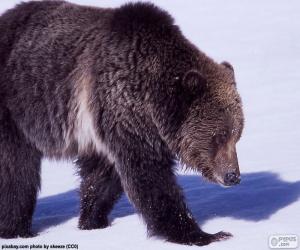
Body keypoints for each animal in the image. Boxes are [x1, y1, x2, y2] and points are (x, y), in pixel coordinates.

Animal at [0, 0, 244, 246]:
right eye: (219, 136)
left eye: (237, 135)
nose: (233, 176)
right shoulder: (123, 108)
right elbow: (150, 177)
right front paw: (204, 234)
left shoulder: (103, 129)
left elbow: (101, 177)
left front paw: (92, 220)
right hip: (15, 108)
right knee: (17, 172)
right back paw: (17, 229)